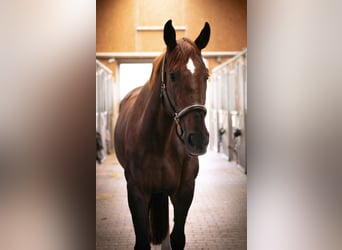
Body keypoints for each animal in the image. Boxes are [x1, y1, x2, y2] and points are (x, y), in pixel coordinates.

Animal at [114, 20, 211, 250]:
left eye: (206, 75)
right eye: (173, 75)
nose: (198, 140)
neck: (159, 141)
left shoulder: (184, 191)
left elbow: (177, 238)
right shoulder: (137, 192)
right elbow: (142, 242)